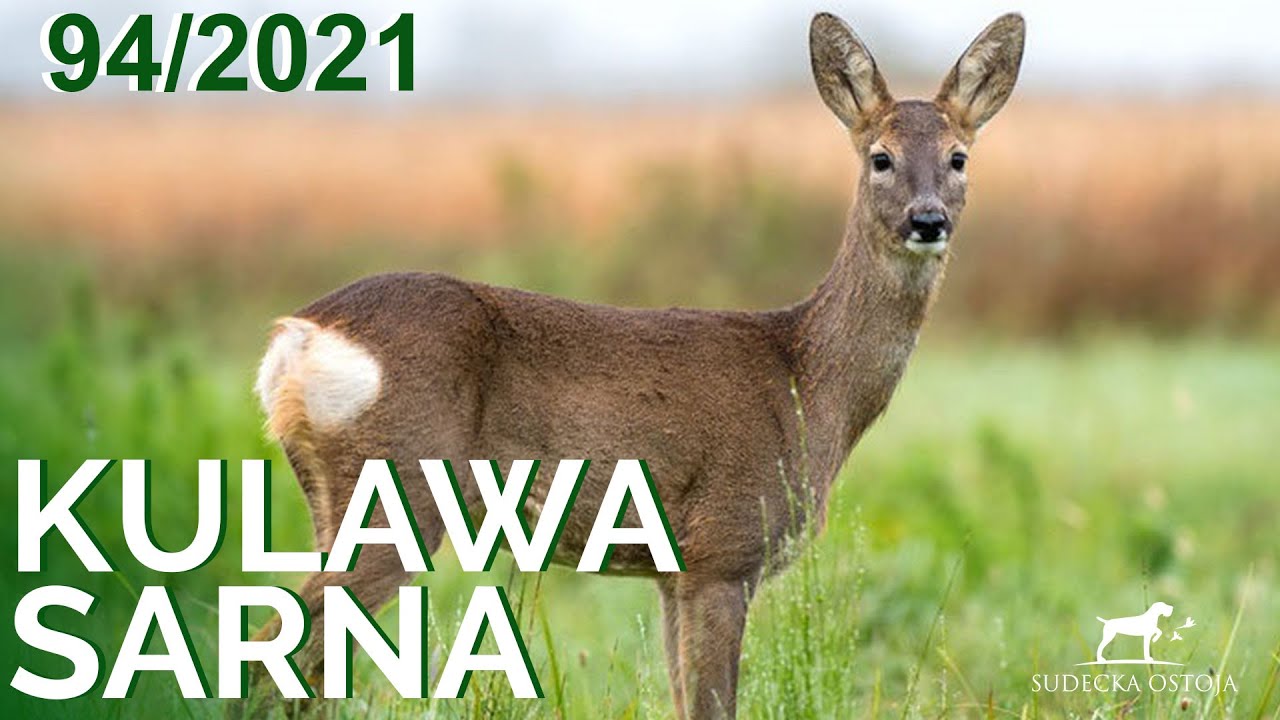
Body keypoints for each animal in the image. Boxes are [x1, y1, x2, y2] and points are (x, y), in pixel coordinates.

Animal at [252, 11, 1025, 720]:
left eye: (959, 157)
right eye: (880, 157)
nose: (928, 220)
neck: (807, 382)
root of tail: (299, 336)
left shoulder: (672, 573)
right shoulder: (723, 547)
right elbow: (713, 705)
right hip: (396, 487)